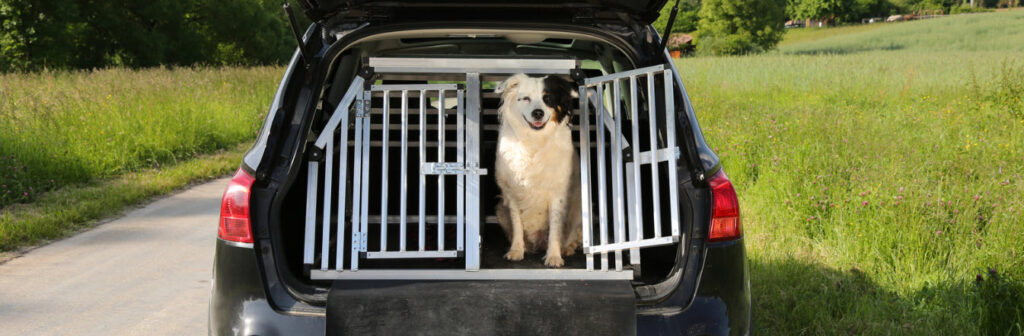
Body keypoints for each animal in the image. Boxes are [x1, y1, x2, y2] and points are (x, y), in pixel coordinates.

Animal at [495, 74, 585, 268]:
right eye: (525, 98)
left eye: (548, 98)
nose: (538, 113)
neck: (534, 140)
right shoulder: (512, 194)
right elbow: (517, 225)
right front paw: (516, 251)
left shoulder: (558, 193)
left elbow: (555, 228)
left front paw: (554, 256)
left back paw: (566, 249)